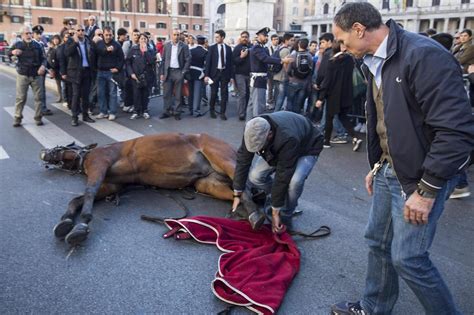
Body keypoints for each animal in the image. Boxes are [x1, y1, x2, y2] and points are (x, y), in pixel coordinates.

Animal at [40, 133, 237, 247]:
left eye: (64, 145)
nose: (43, 152)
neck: (85, 156)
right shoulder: (111, 185)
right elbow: (77, 199)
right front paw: (66, 220)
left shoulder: (99, 163)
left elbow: (89, 192)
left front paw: (81, 225)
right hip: (208, 183)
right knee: (239, 198)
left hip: (222, 159)